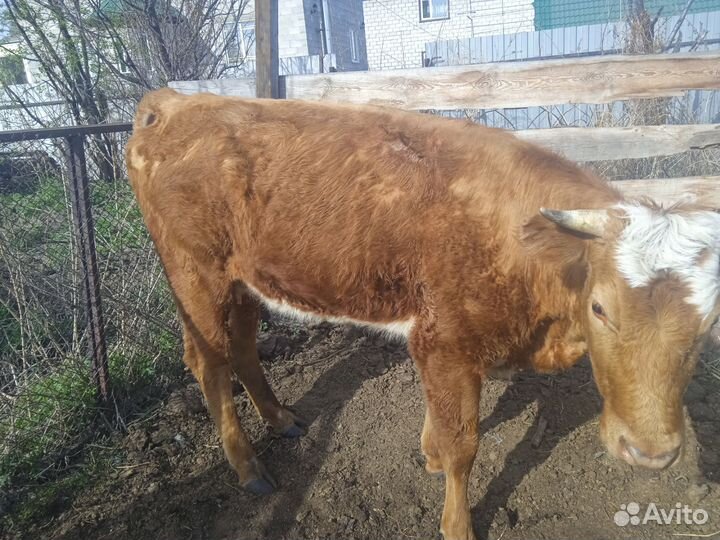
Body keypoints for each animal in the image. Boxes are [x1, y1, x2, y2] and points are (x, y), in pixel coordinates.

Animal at [126, 88, 720, 540]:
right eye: (600, 307)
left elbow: (444, 428)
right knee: (210, 362)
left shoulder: (439, 343)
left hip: (244, 282)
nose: (650, 455)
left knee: (245, 347)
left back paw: (281, 418)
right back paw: (247, 465)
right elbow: (464, 445)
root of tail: (176, 102)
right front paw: (457, 523)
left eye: (709, 323)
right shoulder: (447, 341)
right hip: (196, 277)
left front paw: (428, 454)